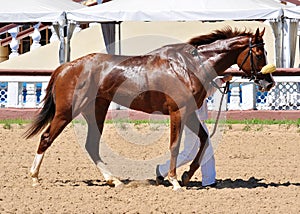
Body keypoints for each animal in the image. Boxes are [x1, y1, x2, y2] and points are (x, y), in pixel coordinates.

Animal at [25, 27, 274, 191]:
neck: (188, 66)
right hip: (67, 112)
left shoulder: (189, 112)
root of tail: (67, 67)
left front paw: (185, 176)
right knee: (47, 137)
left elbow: (203, 139)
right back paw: (34, 177)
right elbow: (174, 146)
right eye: (259, 53)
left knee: (91, 145)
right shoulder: (178, 112)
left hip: (96, 110)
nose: (269, 82)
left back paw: (114, 180)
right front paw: (174, 180)